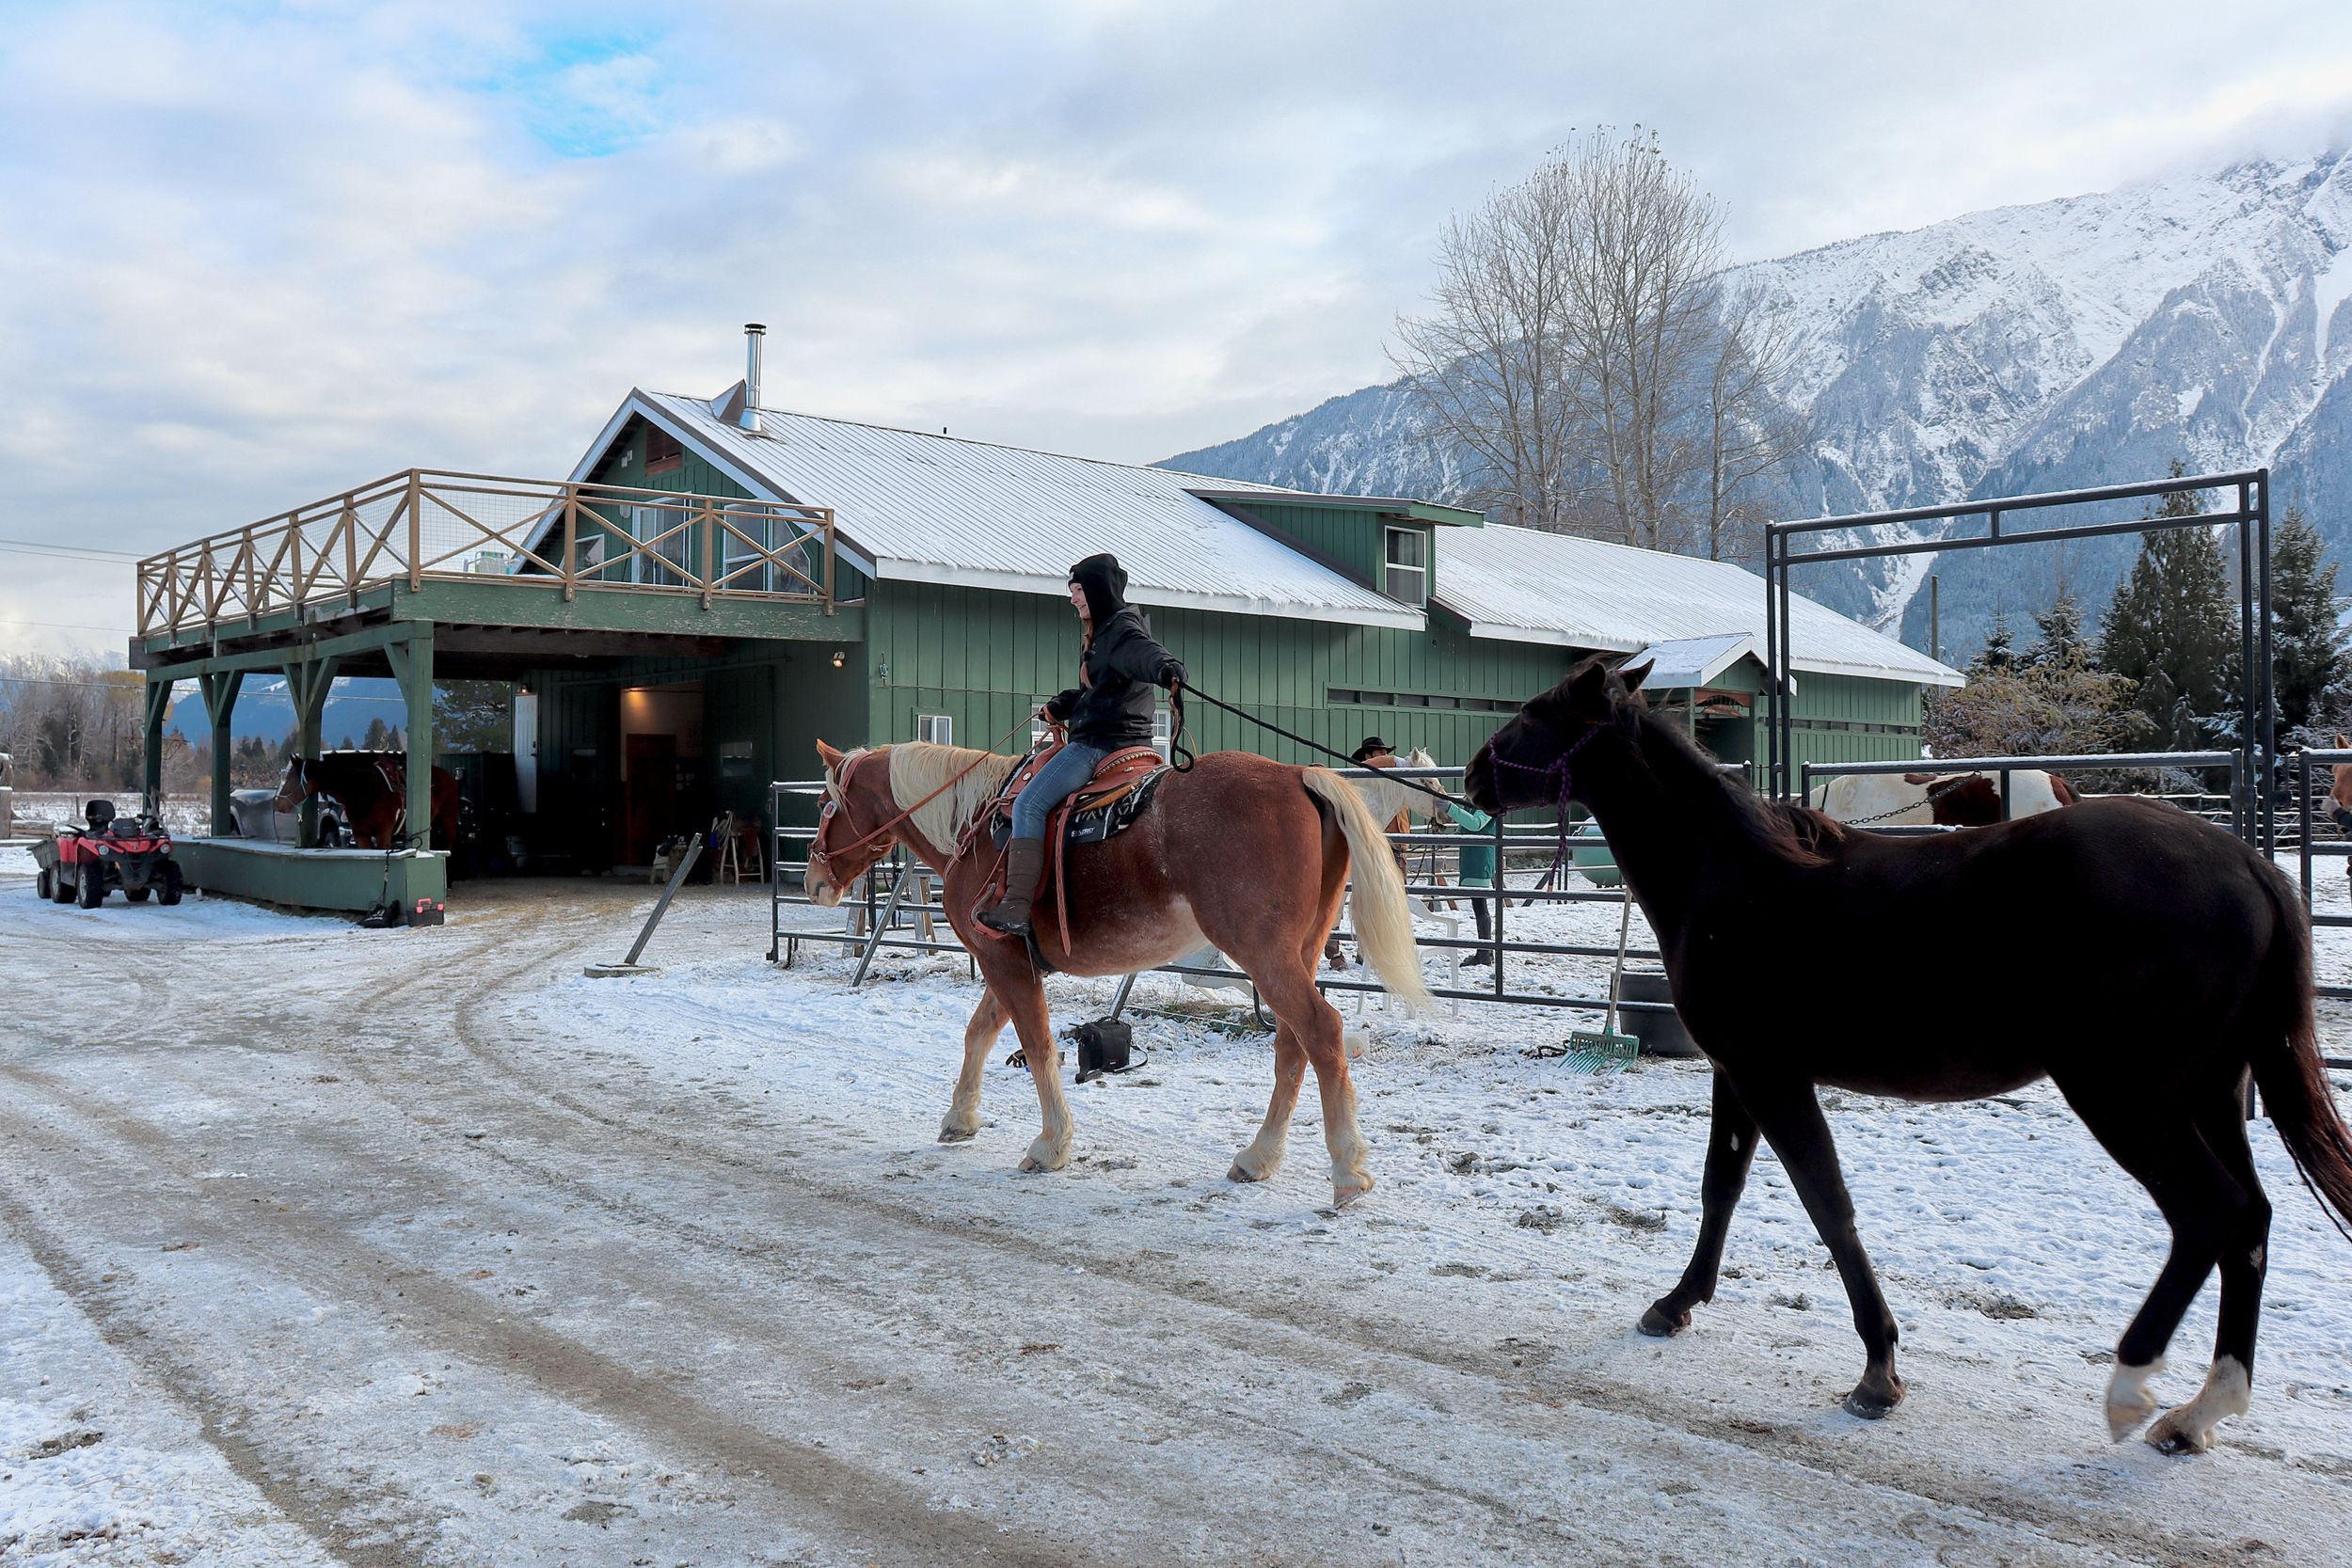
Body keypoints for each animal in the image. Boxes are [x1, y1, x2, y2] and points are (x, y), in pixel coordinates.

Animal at [274, 752, 460, 852]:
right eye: (286, 776)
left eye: (293, 778)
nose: (279, 804)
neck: (363, 791)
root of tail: (449, 777)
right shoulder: (361, 835)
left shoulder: (383, 834)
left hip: (448, 821)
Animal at [805, 740, 1432, 1204]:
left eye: (824, 807)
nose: (812, 882)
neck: (978, 827)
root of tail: (1301, 776)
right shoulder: (1012, 962)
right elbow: (980, 1033)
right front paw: (960, 1118)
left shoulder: (1001, 958)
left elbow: (1036, 1045)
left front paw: (1051, 1145)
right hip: (1298, 951)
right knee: (1292, 1046)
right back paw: (1259, 1157)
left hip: (1267, 955)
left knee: (1321, 1033)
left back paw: (1347, 1170)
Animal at [1466, 655, 2352, 1452]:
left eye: (1535, 713)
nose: (1473, 773)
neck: (1735, 876)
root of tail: (2248, 864)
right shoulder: (1736, 1072)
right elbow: (1722, 1185)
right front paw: (1677, 1301)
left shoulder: (1770, 1075)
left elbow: (1828, 1204)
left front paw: (1878, 1370)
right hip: (2208, 1093)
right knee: (2251, 1221)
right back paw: (2201, 1411)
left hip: (2126, 1095)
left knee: (2211, 1215)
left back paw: (2133, 1387)